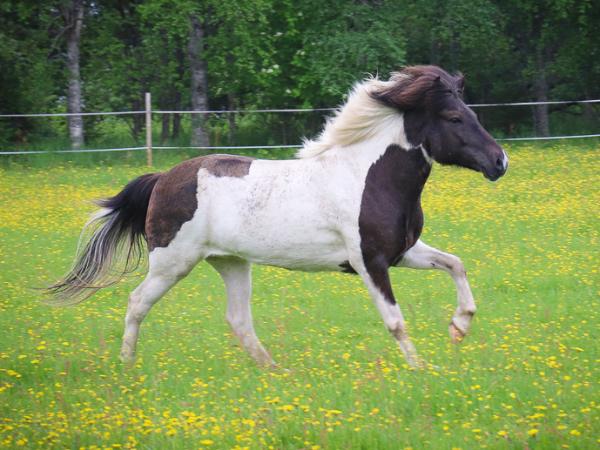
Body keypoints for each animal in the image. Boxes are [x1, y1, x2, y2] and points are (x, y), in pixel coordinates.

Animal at [46, 65, 508, 368]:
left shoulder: (403, 252)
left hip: (231, 263)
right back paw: (128, 366)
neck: (368, 176)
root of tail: (163, 178)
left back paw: (273, 371)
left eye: (473, 114)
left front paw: (459, 327)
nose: (499, 162)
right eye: (454, 117)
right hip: (172, 263)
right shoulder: (370, 262)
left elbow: (456, 264)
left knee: (238, 319)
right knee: (137, 302)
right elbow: (395, 321)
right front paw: (420, 369)